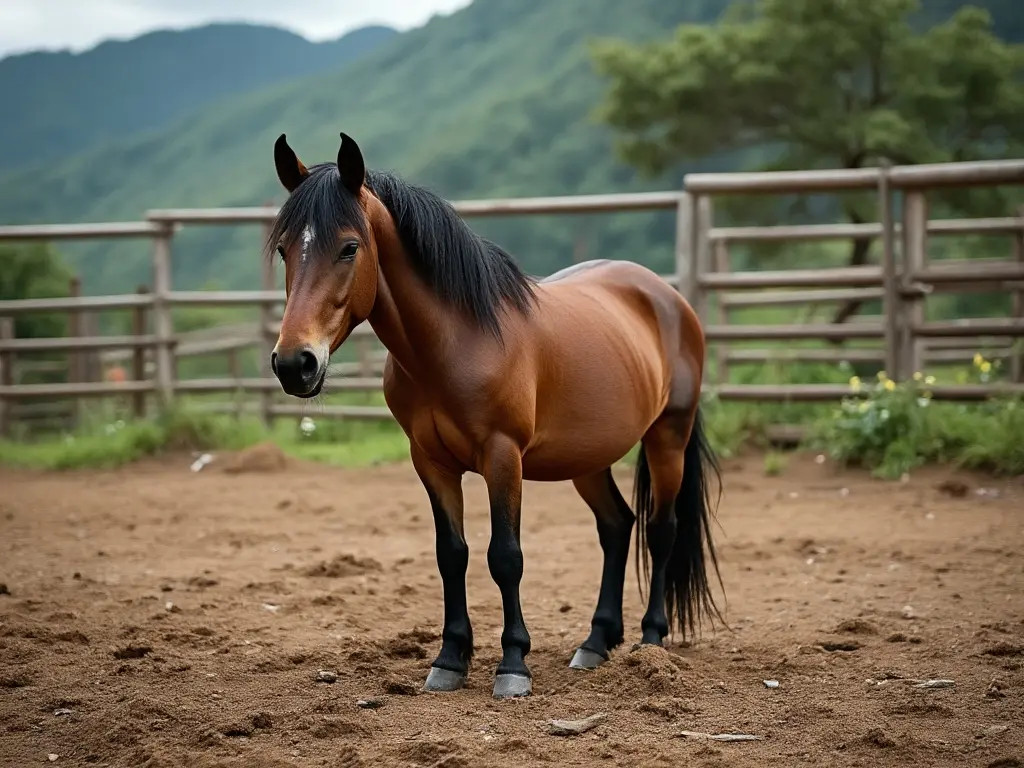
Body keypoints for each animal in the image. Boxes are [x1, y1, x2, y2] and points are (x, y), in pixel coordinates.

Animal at [264, 131, 729, 696]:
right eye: (285, 249)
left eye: (350, 247)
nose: (295, 363)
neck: (455, 343)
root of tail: (669, 299)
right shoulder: (430, 462)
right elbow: (452, 554)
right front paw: (449, 659)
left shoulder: (503, 456)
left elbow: (505, 556)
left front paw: (512, 665)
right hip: (588, 456)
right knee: (617, 526)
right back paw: (596, 642)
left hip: (668, 438)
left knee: (661, 530)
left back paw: (651, 639)